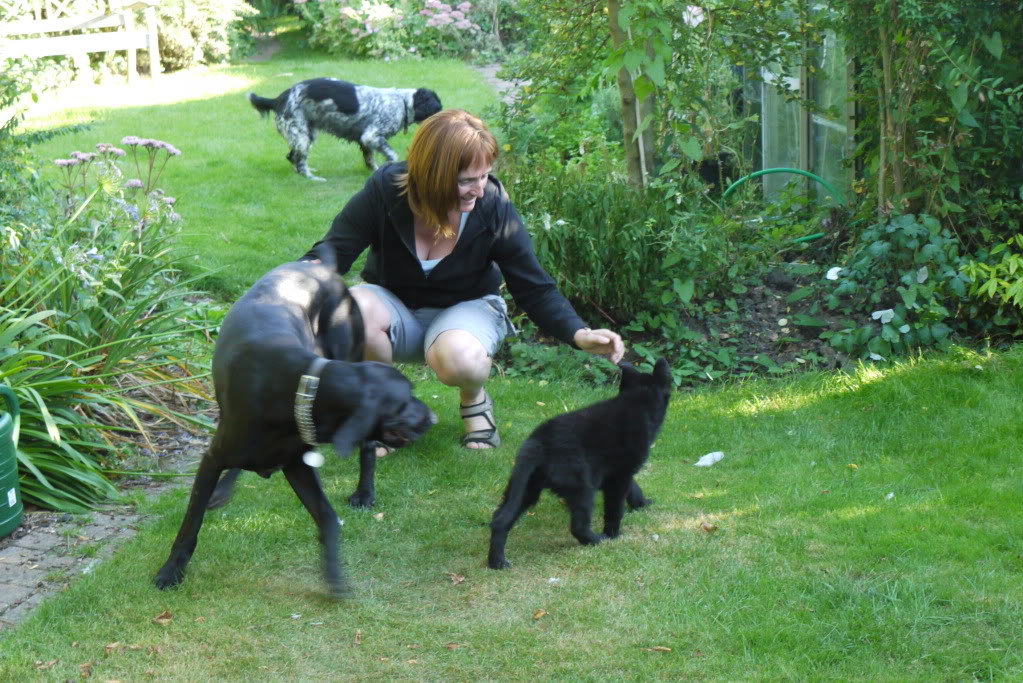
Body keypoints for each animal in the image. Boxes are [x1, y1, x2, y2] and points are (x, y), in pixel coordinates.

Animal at [154, 245, 436, 597]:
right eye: (405, 400)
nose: (432, 417)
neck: (301, 391)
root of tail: (321, 267)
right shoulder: (213, 459)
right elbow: (189, 526)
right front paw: (171, 571)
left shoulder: (298, 465)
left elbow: (328, 518)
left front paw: (333, 576)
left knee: (368, 449)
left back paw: (364, 493)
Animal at [248, 78, 442, 180]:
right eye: (438, 109)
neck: (402, 102)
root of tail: (279, 98)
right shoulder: (371, 136)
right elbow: (392, 155)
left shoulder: (366, 141)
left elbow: (370, 160)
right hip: (302, 137)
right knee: (299, 161)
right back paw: (312, 178)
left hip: (306, 135)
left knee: (292, 157)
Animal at [487, 358, 672, 569]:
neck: (637, 401)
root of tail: (538, 443)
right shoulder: (619, 476)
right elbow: (615, 509)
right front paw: (614, 534)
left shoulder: (618, 472)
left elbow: (635, 488)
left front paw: (641, 503)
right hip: (582, 487)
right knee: (578, 526)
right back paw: (597, 540)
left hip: (526, 488)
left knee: (500, 519)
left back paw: (497, 562)